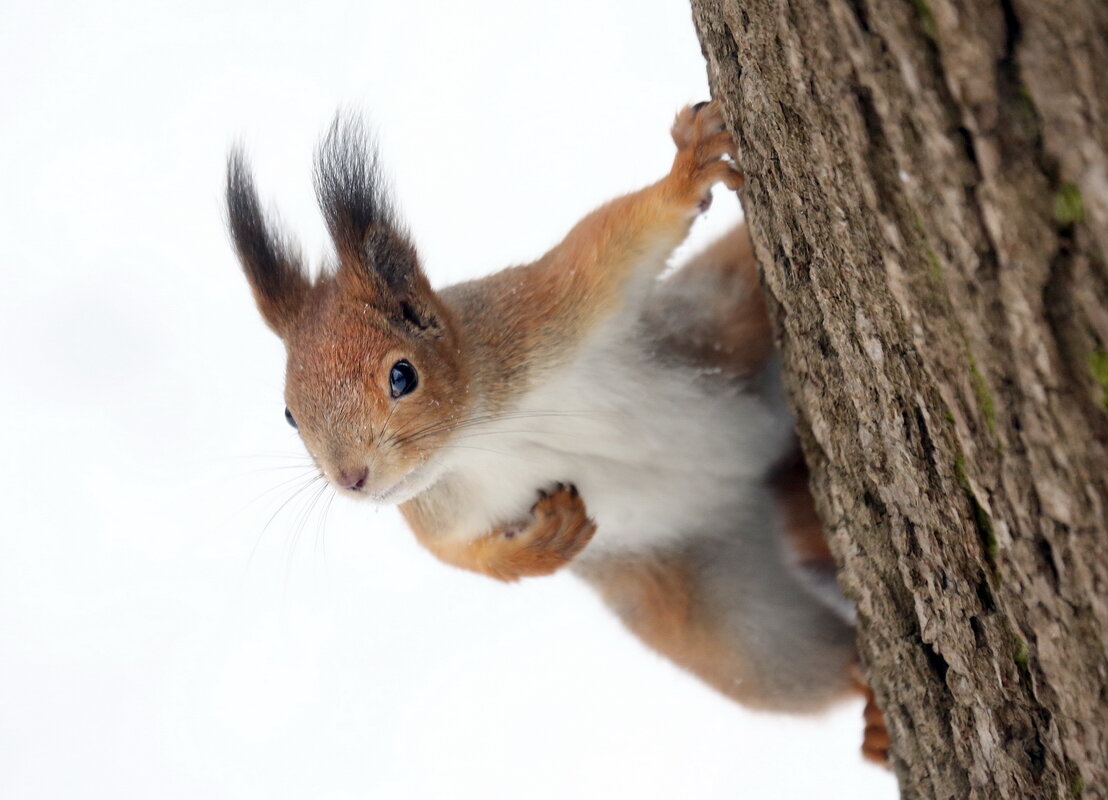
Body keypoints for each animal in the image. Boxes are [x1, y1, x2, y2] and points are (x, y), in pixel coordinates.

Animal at [227, 99, 890, 762]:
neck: (479, 438)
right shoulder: (438, 511)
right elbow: (456, 555)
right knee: (800, 668)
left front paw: (688, 168)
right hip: (721, 620)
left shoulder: (536, 316)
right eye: (289, 413)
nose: (352, 479)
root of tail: (757, 478)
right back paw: (873, 709)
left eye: (402, 375)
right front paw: (540, 544)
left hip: (719, 318)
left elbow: (608, 244)